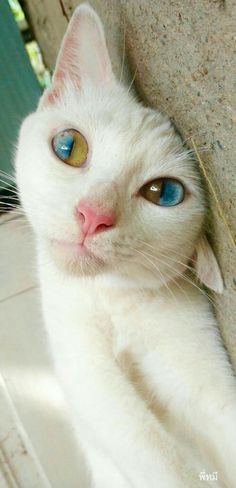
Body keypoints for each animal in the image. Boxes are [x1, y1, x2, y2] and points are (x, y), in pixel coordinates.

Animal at [15, 4, 235, 488]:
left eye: (163, 193)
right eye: (69, 146)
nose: (93, 215)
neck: (116, 300)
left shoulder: (198, 362)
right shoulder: (84, 368)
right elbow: (148, 451)